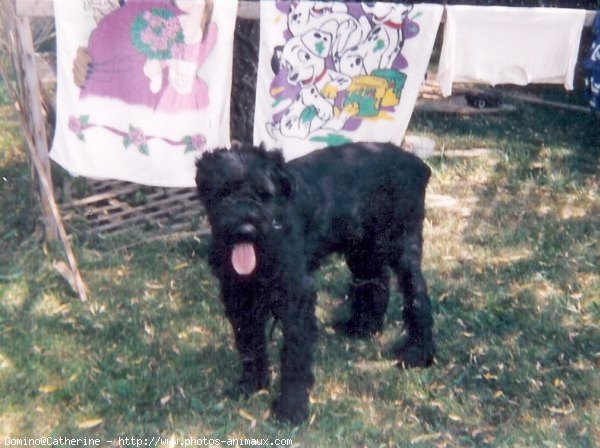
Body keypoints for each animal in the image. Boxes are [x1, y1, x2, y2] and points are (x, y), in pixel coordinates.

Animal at [197, 143, 436, 424]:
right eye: (224, 192)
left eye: (264, 193)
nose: (245, 230)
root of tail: (416, 162)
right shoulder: (239, 297)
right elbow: (249, 342)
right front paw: (252, 384)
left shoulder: (296, 298)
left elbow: (294, 353)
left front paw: (291, 408)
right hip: (363, 248)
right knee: (375, 281)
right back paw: (362, 327)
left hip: (401, 246)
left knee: (416, 293)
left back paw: (418, 353)